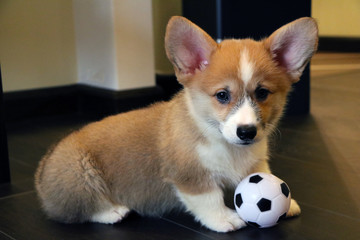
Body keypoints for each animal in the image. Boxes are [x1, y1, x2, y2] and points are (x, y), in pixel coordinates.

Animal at [35, 16, 318, 232]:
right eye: (222, 95)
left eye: (262, 93)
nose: (247, 132)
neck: (224, 144)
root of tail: (42, 171)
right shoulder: (189, 176)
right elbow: (209, 199)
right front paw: (225, 219)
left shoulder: (256, 162)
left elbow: (265, 176)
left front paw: (287, 203)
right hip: (80, 175)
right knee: (76, 210)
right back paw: (113, 211)